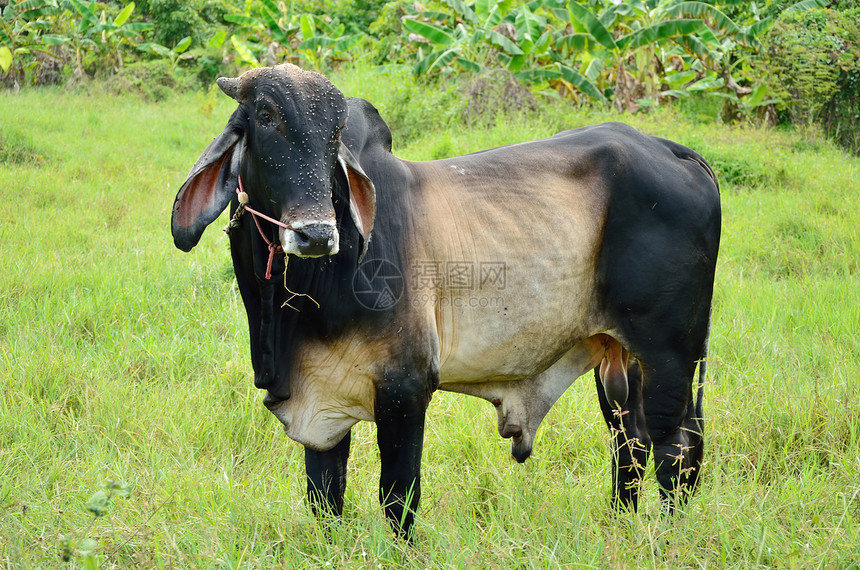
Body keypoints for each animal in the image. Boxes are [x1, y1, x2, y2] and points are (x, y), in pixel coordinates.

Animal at [168, 63, 720, 536]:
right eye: (264, 118)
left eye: (335, 135)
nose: (317, 234)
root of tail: (670, 149)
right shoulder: (323, 403)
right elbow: (325, 497)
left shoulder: (405, 386)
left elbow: (398, 497)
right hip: (617, 356)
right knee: (631, 443)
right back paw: (619, 526)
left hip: (669, 353)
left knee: (675, 447)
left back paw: (664, 536)